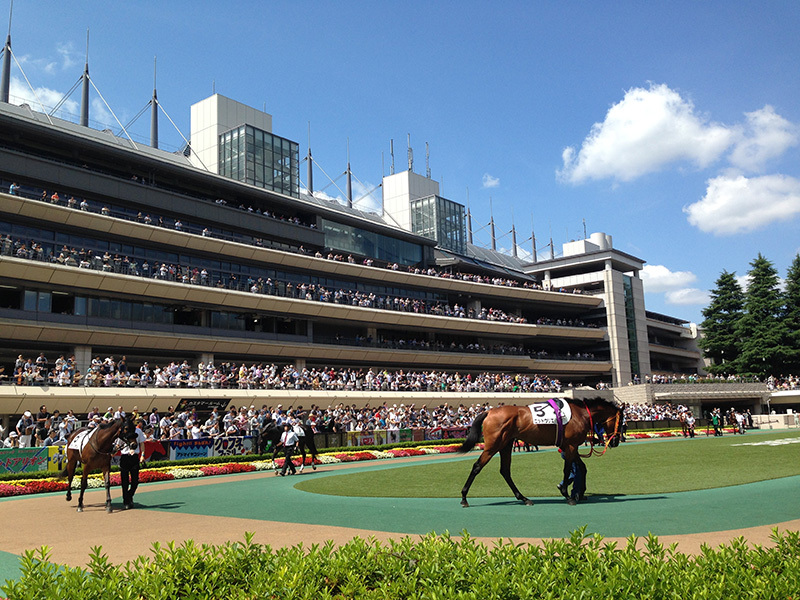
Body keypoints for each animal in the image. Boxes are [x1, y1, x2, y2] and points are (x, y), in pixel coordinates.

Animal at [456, 398, 624, 506]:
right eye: (622, 420)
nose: (615, 441)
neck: (580, 414)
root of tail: (489, 412)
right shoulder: (570, 446)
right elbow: (567, 469)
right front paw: (567, 494)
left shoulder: (572, 446)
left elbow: (582, 468)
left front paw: (580, 493)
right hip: (493, 446)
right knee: (477, 467)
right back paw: (464, 498)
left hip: (505, 445)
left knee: (505, 471)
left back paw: (524, 498)